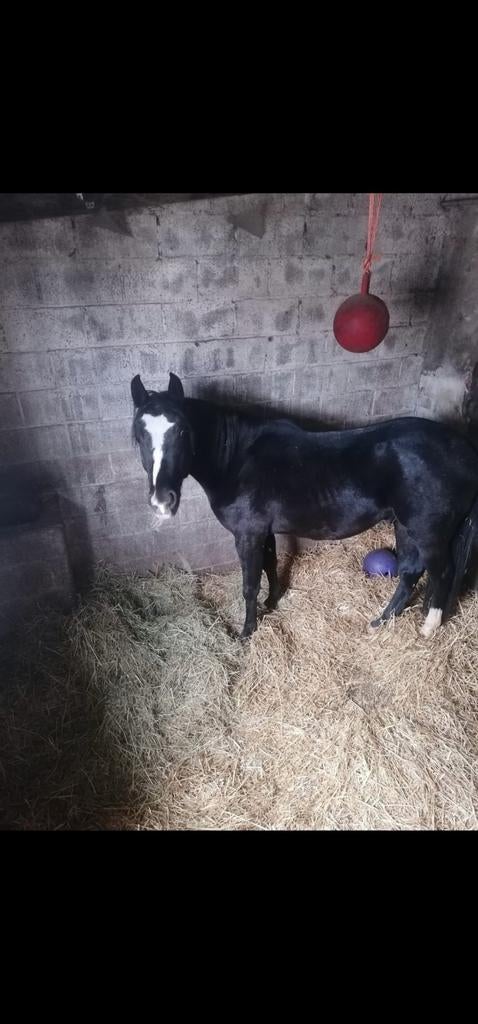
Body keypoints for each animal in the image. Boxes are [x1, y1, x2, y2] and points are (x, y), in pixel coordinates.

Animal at [131, 372, 478, 640]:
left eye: (183, 430)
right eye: (139, 434)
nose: (161, 501)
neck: (237, 458)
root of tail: (464, 449)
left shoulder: (248, 534)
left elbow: (249, 584)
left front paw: (246, 632)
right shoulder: (264, 532)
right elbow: (271, 566)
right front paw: (272, 602)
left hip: (428, 533)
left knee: (442, 573)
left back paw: (428, 629)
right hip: (404, 526)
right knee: (409, 573)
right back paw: (380, 622)